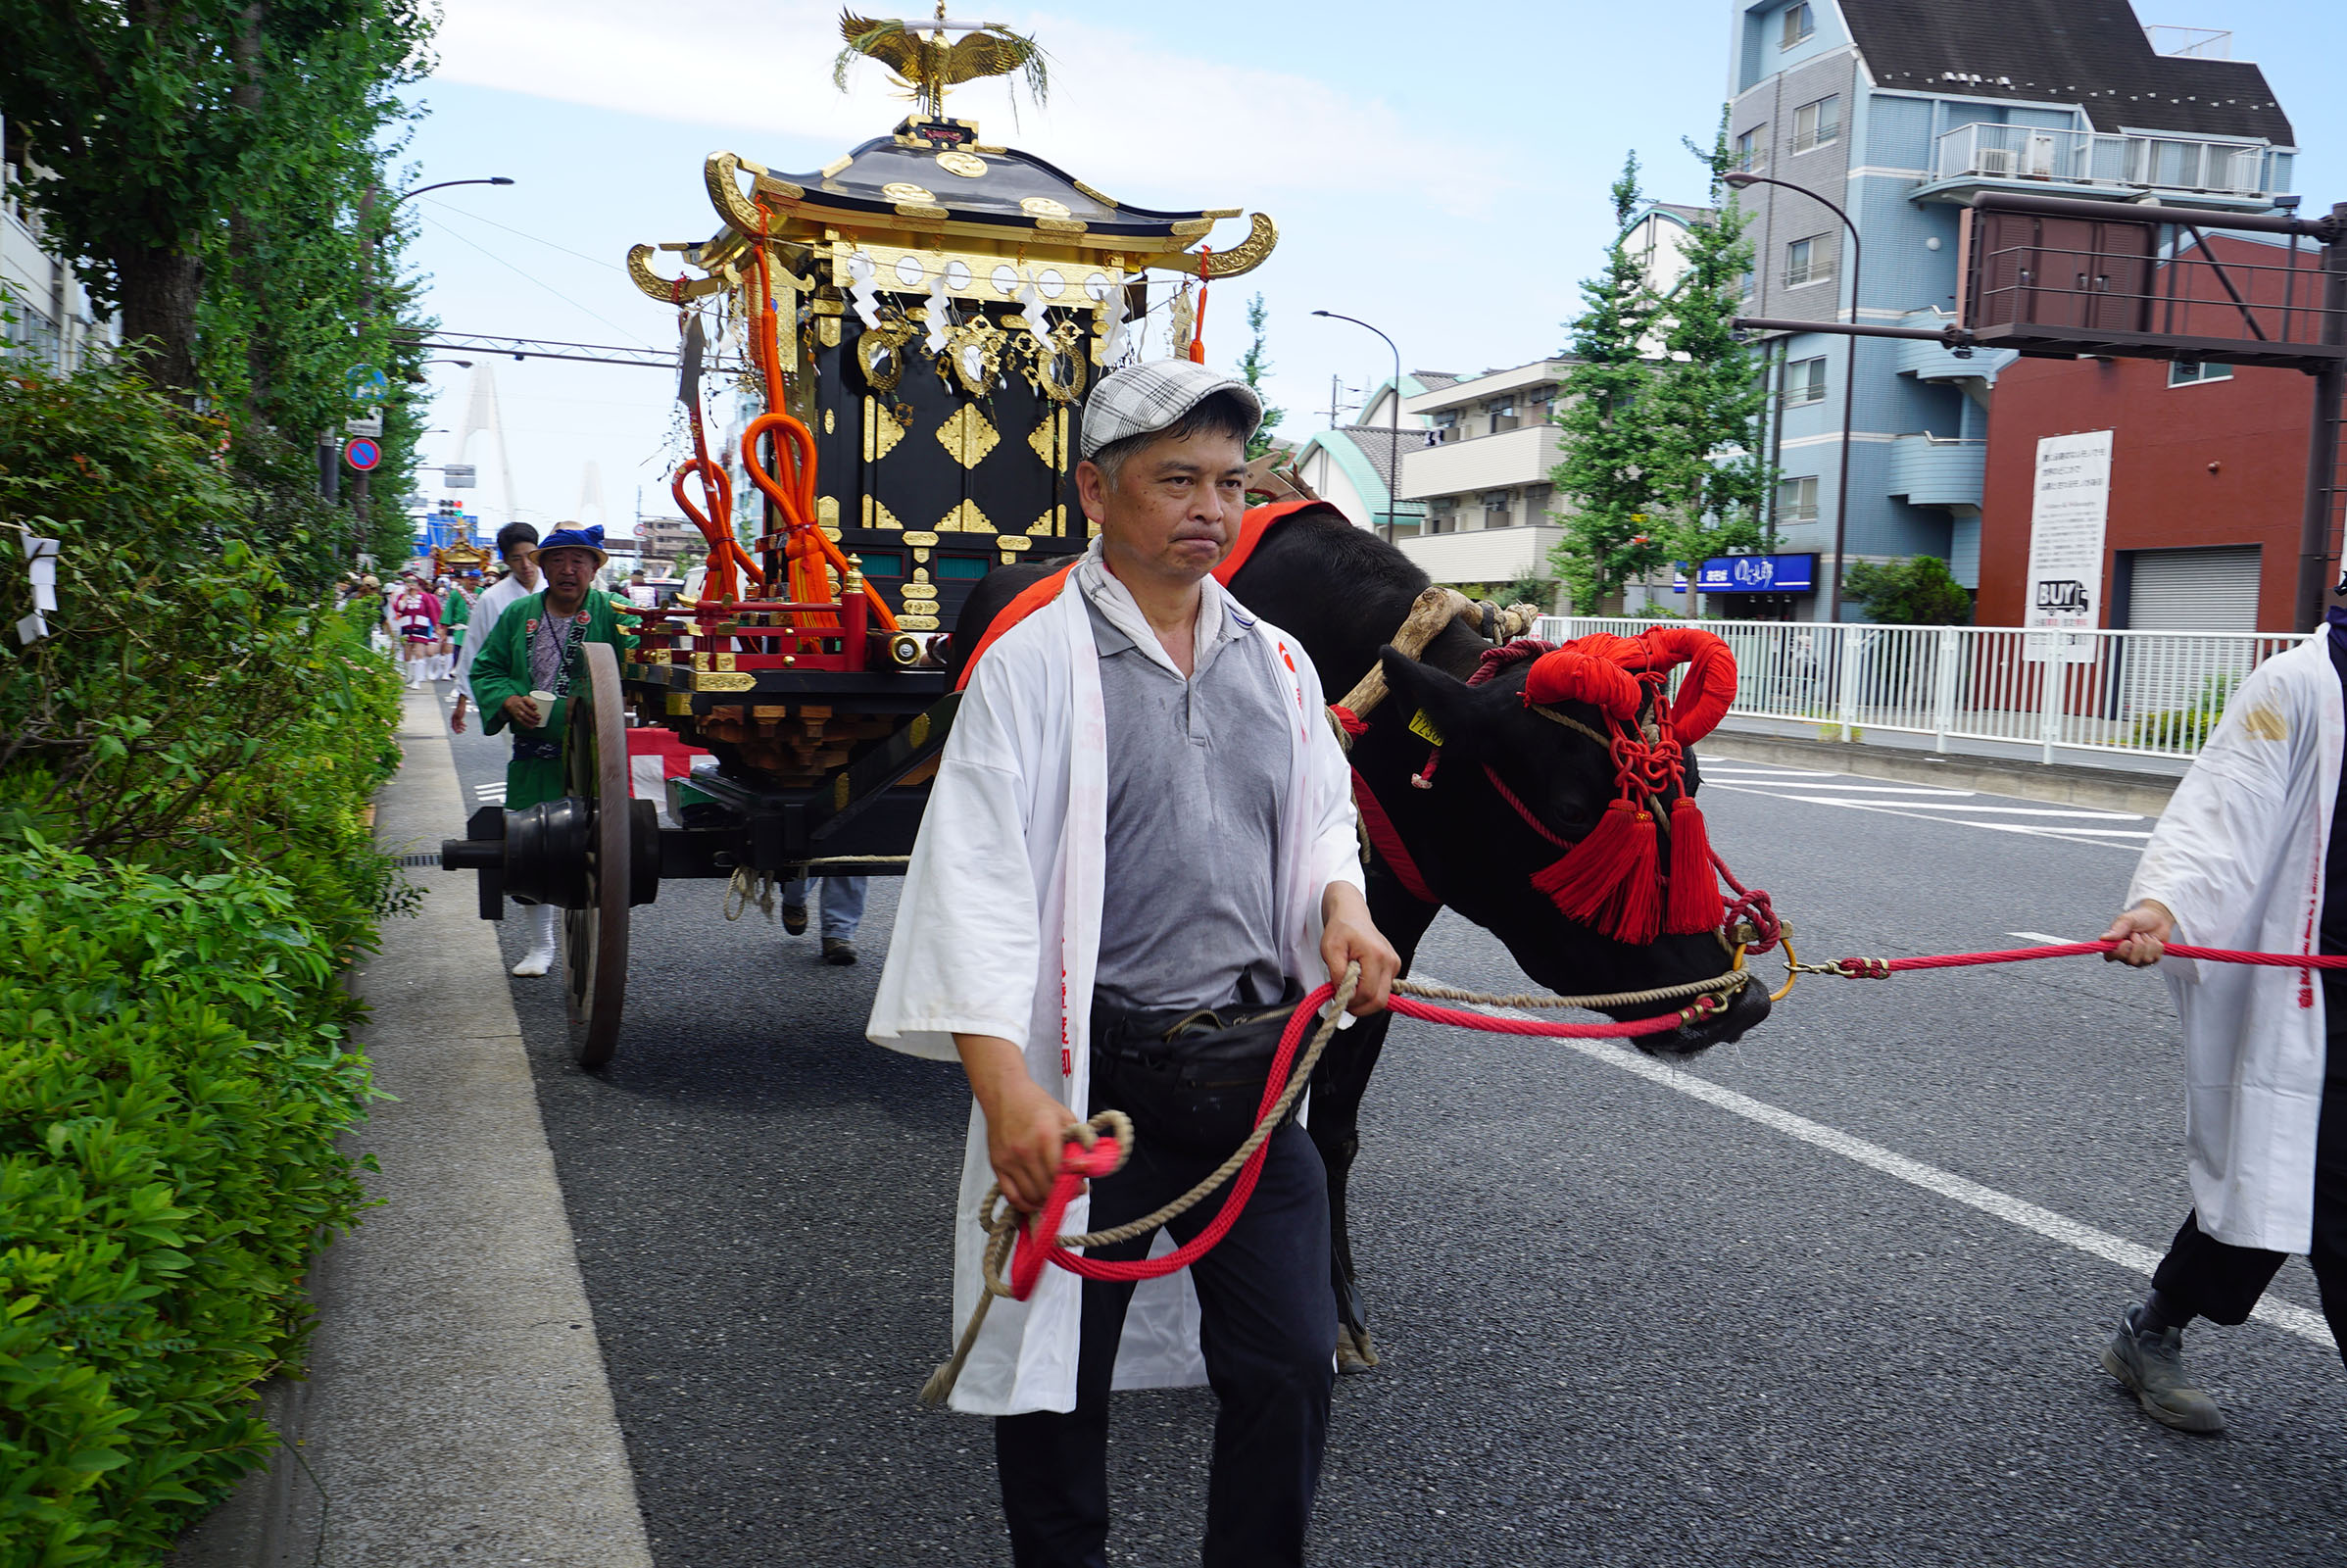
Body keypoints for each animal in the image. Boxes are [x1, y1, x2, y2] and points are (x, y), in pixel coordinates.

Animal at [951, 501, 1771, 1369]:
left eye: (1693, 783)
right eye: (1574, 809)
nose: (1739, 1000)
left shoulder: (1381, 951)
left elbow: (1332, 1129)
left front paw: (1333, 1301)